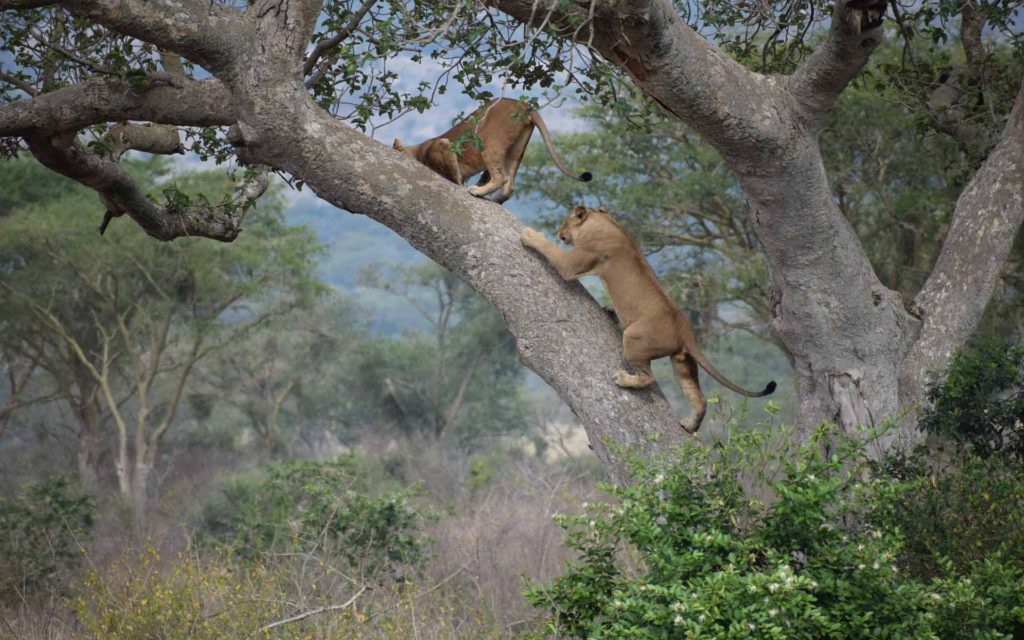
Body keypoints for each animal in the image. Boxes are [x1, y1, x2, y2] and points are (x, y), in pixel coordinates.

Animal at [391, 97, 593, 203]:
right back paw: (493, 198)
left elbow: (454, 175)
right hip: (516, 149)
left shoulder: (444, 145)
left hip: (489, 141)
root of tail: (522, 104)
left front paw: (461, 184)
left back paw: (478, 191)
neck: (419, 149)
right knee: (509, 185)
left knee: (501, 177)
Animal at [520, 204, 774, 434]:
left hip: (634, 338)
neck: (603, 221)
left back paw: (624, 379)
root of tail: (686, 330)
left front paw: (530, 235)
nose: (559, 233)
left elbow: (550, 250)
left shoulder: (572, 264)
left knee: (649, 378)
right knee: (699, 398)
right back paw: (689, 425)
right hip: (682, 363)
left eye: (565, 222)